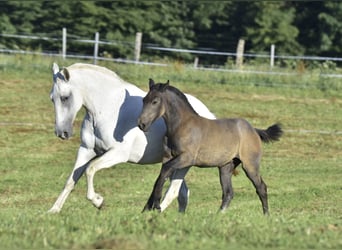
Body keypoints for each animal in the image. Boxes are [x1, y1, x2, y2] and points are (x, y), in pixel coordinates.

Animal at [48, 63, 215, 213]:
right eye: (52, 99)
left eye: (65, 98)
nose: (62, 133)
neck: (108, 109)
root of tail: (207, 115)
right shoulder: (86, 150)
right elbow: (71, 180)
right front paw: (54, 210)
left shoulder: (118, 154)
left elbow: (91, 169)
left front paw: (98, 201)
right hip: (175, 164)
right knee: (182, 193)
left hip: (184, 163)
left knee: (173, 192)